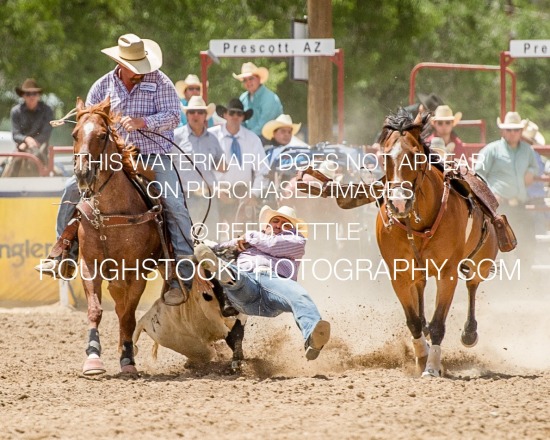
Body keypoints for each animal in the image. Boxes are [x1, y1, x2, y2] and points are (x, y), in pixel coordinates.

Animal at [72, 96, 245, 374]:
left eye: (102, 135)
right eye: (75, 133)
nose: (83, 173)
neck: (110, 215)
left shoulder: (136, 273)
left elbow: (128, 316)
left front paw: (128, 360)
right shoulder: (89, 265)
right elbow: (96, 310)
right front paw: (93, 358)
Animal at [380, 108, 500, 376]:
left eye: (415, 156)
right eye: (384, 156)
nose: (399, 202)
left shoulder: (448, 273)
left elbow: (438, 324)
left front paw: (433, 367)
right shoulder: (398, 274)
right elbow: (413, 321)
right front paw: (422, 357)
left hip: (481, 262)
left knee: (472, 285)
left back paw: (469, 333)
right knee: (421, 291)